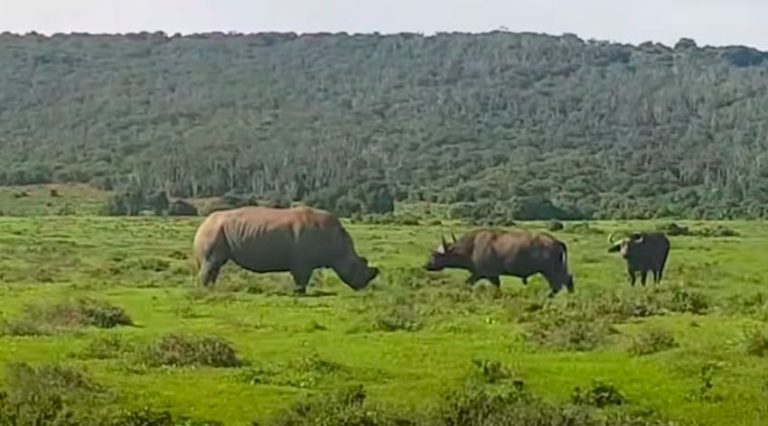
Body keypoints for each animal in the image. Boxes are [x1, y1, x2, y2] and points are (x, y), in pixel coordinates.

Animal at [192, 205, 379, 293]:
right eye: (355, 266)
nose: (362, 287)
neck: (337, 243)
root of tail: (203, 222)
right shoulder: (302, 262)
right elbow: (302, 279)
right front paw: (300, 293)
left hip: (218, 230)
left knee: (216, 265)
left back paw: (212, 289)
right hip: (214, 230)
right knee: (212, 262)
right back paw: (205, 290)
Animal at [424, 228, 574, 297]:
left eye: (435, 255)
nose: (426, 265)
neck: (472, 247)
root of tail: (557, 242)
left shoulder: (483, 274)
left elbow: (469, 283)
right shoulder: (489, 275)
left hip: (550, 271)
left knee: (558, 285)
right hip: (558, 270)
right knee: (568, 280)